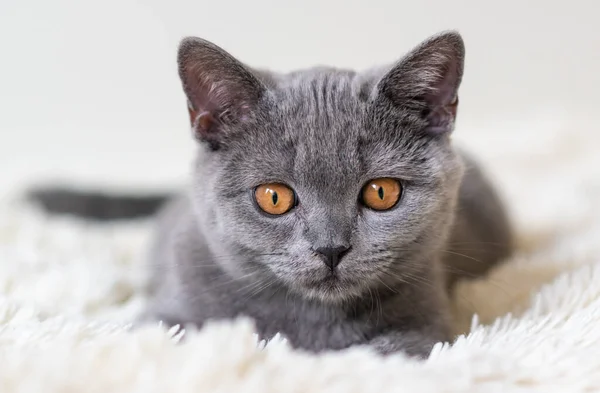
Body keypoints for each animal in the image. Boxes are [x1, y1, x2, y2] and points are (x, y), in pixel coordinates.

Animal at [31, 30, 510, 356]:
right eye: (273, 198)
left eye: (381, 192)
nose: (331, 248)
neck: (313, 321)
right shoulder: (164, 317)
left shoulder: (429, 327)